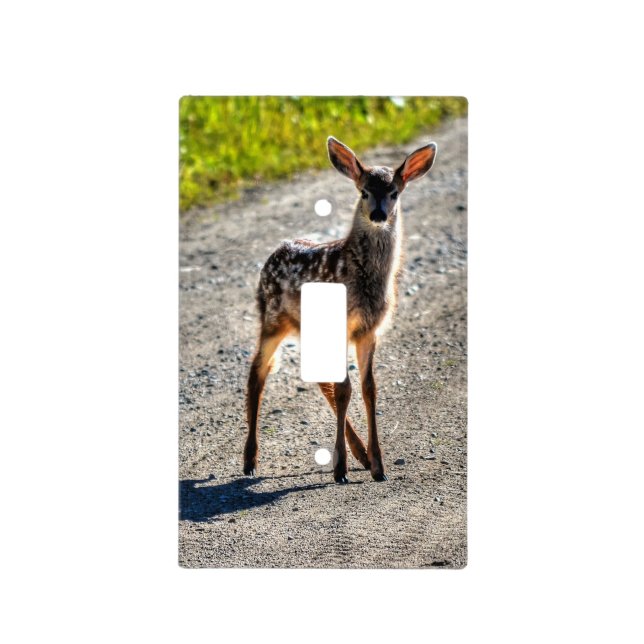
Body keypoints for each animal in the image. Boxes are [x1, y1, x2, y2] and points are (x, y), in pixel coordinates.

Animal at [244, 136, 437, 484]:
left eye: (394, 193)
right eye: (363, 192)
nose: (378, 214)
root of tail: (274, 252)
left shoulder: (369, 331)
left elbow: (368, 389)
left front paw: (378, 466)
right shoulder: (343, 325)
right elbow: (345, 388)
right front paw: (341, 469)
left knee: (320, 379)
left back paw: (360, 454)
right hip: (272, 318)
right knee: (258, 371)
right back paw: (250, 461)